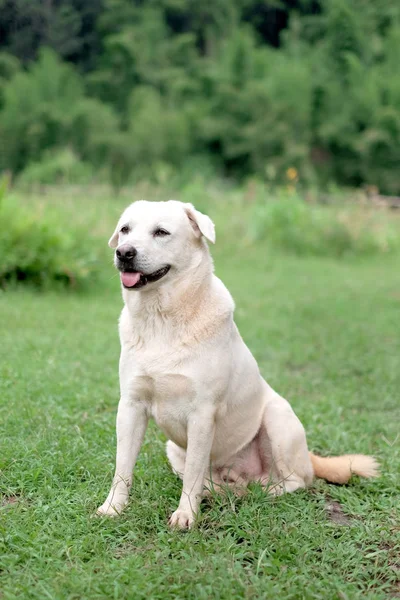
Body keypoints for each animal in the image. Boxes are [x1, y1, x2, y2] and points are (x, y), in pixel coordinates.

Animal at [96, 199, 378, 528]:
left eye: (161, 232)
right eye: (125, 230)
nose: (124, 252)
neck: (162, 319)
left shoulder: (202, 413)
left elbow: (192, 475)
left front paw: (185, 515)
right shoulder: (131, 406)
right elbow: (123, 467)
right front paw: (114, 508)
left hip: (277, 419)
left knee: (293, 481)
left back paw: (257, 491)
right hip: (174, 449)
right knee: (213, 480)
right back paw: (225, 490)